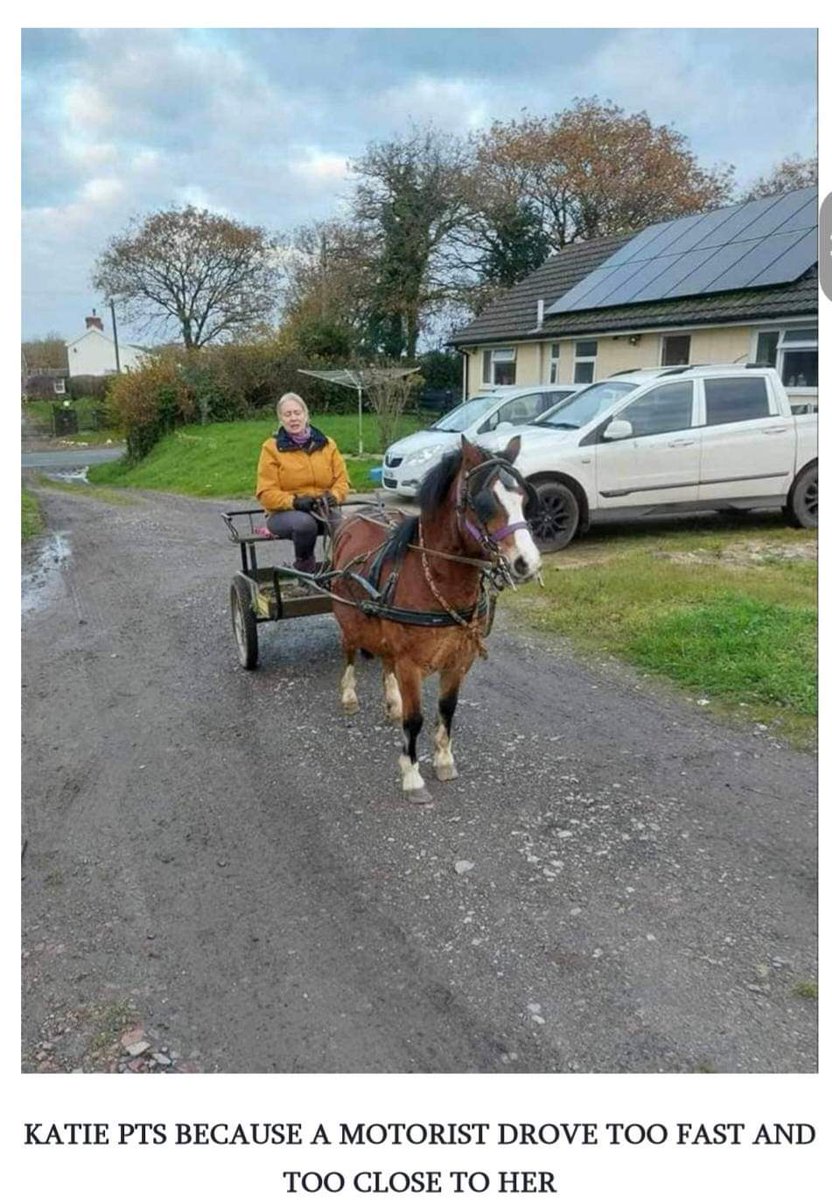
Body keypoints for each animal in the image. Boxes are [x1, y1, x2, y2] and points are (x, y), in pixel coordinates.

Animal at [329, 434, 541, 802]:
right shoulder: (410, 663)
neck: (435, 578)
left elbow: (447, 708)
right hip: (349, 619)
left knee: (384, 660)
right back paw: (350, 695)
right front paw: (412, 775)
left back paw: (392, 701)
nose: (527, 562)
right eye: (483, 501)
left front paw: (443, 759)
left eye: (524, 498)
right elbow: (415, 719)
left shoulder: (459, 660)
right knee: (350, 652)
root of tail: (356, 516)